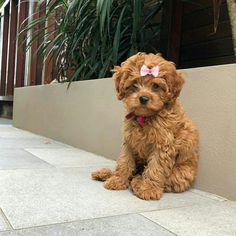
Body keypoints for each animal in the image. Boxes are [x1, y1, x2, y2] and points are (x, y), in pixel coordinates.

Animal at [91, 52, 198, 200]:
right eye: (134, 84)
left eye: (156, 86)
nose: (143, 98)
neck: (145, 117)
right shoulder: (129, 141)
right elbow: (124, 161)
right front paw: (117, 180)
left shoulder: (163, 145)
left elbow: (156, 167)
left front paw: (148, 189)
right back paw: (105, 174)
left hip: (181, 173)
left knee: (165, 182)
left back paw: (138, 182)